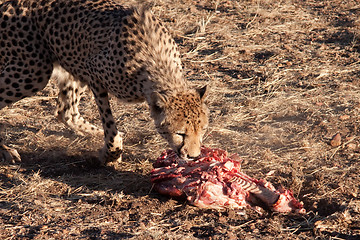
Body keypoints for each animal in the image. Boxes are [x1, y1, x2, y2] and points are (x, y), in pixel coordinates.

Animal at [0, 0, 208, 164]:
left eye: (202, 130)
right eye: (180, 133)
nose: (194, 156)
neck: (158, 64)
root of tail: (9, 3)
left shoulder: (83, 67)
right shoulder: (92, 72)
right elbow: (109, 123)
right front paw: (111, 154)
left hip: (68, 62)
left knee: (65, 112)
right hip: (33, 71)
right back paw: (6, 150)